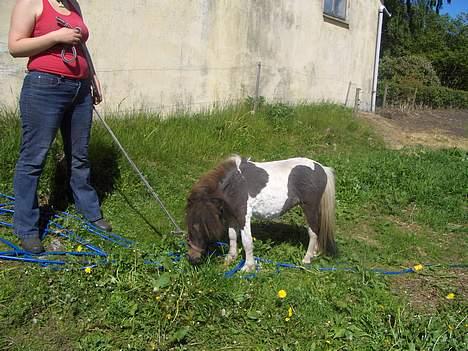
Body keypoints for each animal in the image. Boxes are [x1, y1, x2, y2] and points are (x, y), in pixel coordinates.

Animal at [185, 155, 334, 274]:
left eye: (195, 226)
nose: (191, 258)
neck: (234, 184)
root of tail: (321, 168)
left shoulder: (243, 216)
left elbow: (247, 242)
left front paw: (247, 267)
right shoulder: (232, 216)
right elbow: (232, 236)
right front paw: (230, 258)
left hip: (309, 208)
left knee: (313, 232)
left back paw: (307, 259)